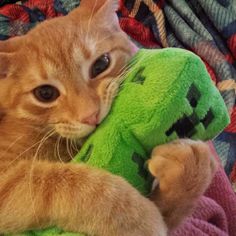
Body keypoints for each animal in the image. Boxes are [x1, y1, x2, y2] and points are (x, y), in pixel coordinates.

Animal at [0, 0, 217, 236]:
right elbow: (59, 184)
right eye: (45, 93)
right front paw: (138, 217)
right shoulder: (7, 182)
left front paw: (192, 172)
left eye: (101, 65)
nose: (91, 115)